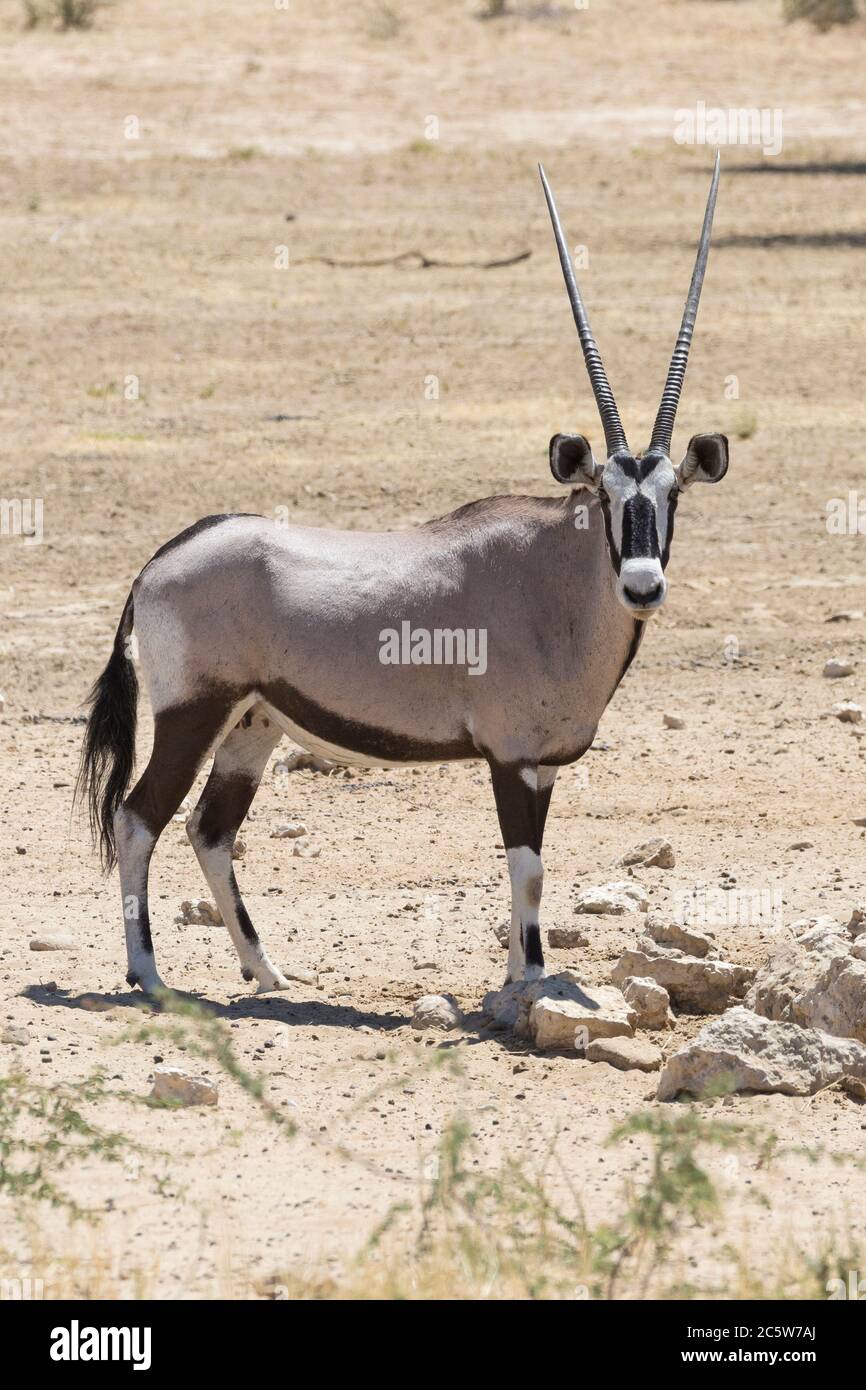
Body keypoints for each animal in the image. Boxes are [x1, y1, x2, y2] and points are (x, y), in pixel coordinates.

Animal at [79, 157, 733, 995]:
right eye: (606, 497)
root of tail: (159, 561)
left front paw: (518, 980)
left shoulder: (542, 768)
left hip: (253, 724)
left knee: (209, 830)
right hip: (195, 711)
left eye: (673, 494)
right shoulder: (510, 757)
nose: (643, 586)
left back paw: (267, 971)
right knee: (139, 818)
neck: (553, 583)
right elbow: (528, 872)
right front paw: (526, 986)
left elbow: (532, 871)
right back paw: (150, 976)